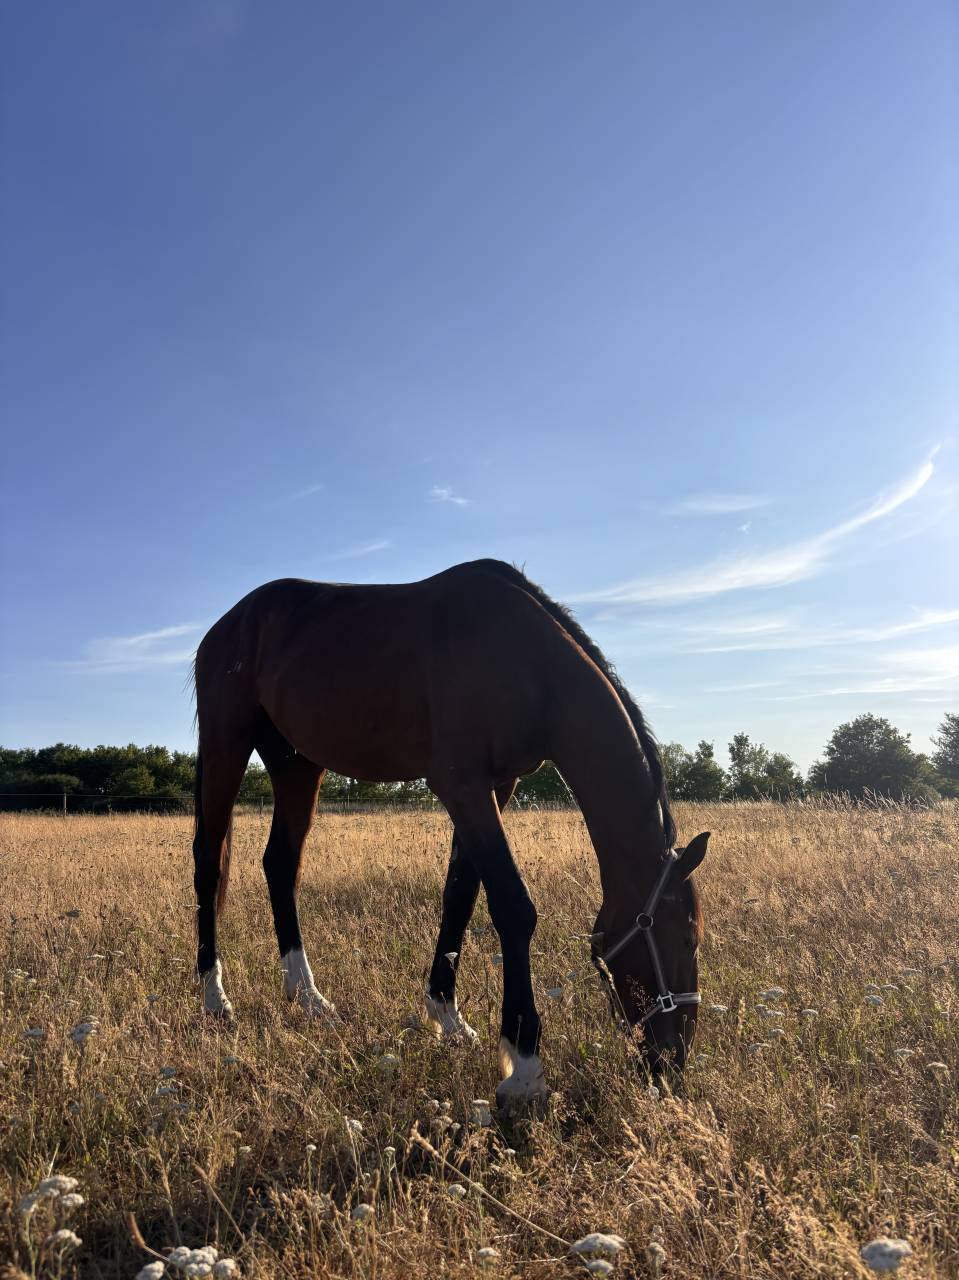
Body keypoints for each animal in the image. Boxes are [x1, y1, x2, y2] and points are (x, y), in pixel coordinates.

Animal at [191, 558, 708, 1103]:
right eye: (685, 937)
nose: (672, 1062)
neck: (531, 663)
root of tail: (226, 626)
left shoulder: (497, 786)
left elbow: (460, 893)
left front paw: (447, 1016)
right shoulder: (463, 785)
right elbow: (512, 907)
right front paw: (524, 1067)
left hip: (296, 765)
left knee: (280, 864)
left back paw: (307, 996)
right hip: (227, 745)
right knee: (208, 863)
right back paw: (215, 998)